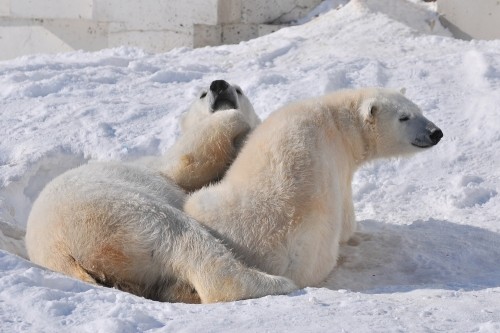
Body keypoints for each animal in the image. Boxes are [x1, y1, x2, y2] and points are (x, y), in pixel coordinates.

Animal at [26, 80, 296, 304]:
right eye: (201, 94)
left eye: (239, 90)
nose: (219, 85)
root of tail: (58, 252)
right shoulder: (168, 167)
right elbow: (194, 155)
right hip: (112, 212)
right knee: (180, 235)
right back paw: (277, 283)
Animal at [186, 86, 444, 288]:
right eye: (404, 117)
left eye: (419, 111)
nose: (436, 132)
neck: (339, 119)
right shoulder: (339, 163)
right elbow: (347, 220)